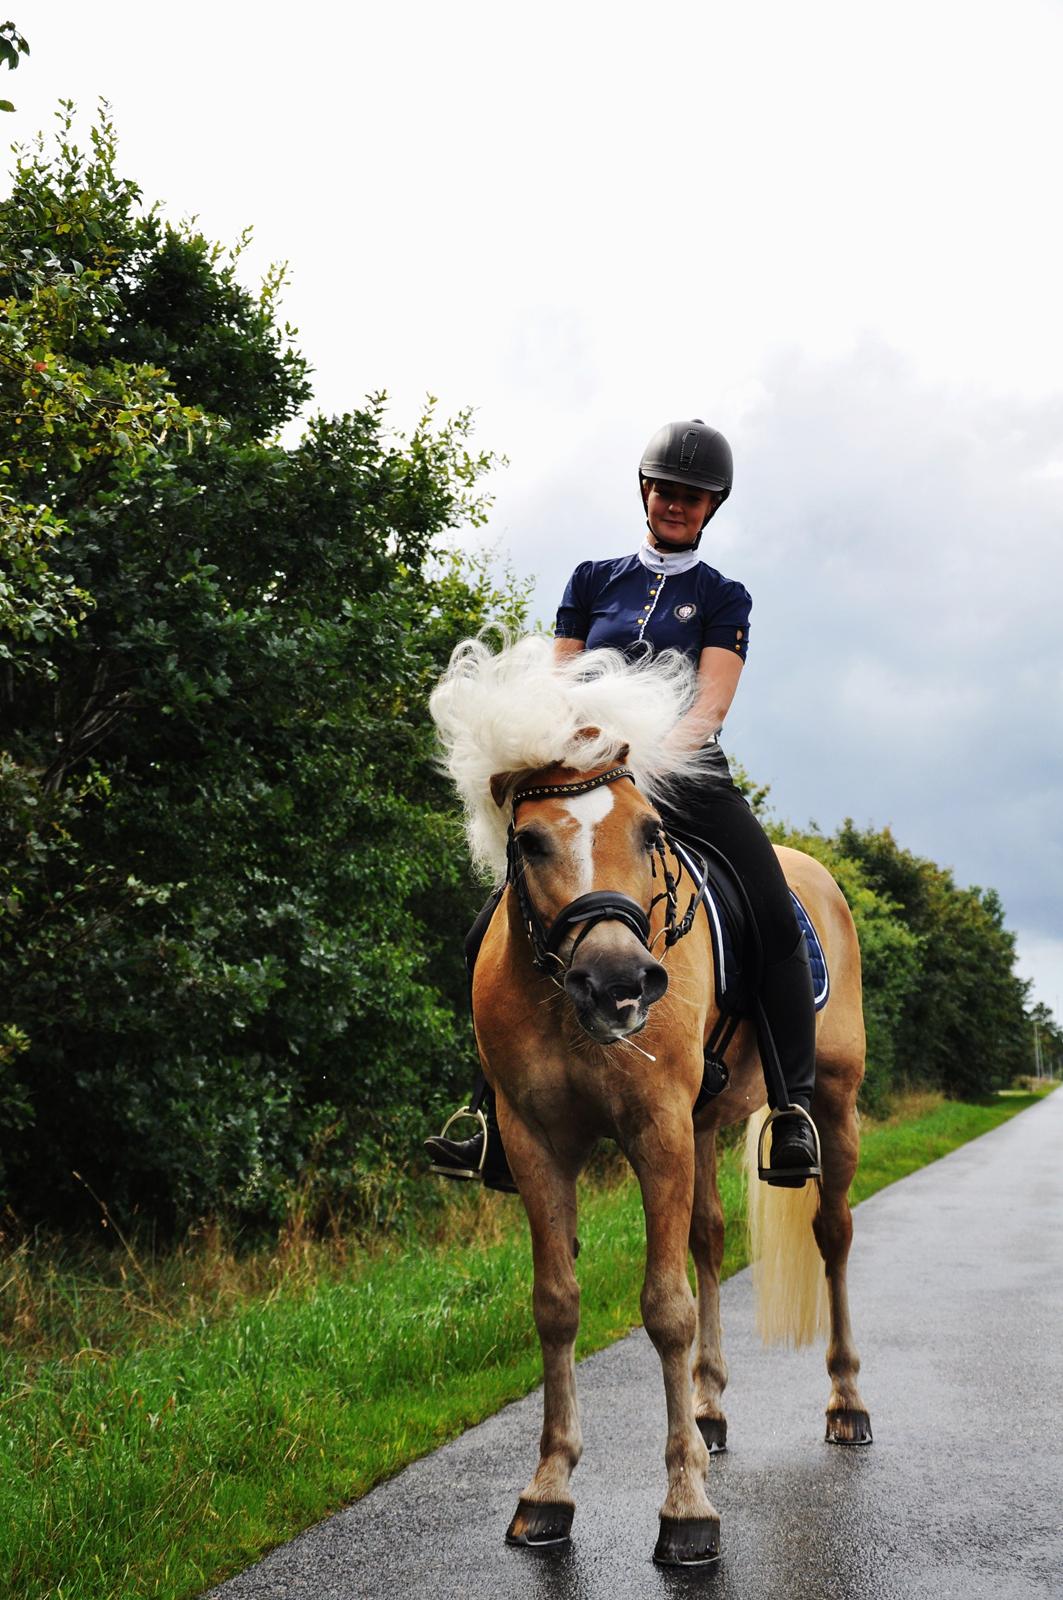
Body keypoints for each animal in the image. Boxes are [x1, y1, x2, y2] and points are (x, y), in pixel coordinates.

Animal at [432, 633, 870, 1561]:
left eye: (648, 830)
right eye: (528, 843)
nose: (619, 987)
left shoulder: (655, 1128)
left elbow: (664, 1308)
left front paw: (686, 1511)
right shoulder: (537, 1141)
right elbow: (556, 1304)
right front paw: (548, 1490)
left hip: (833, 1104)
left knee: (832, 1233)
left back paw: (846, 1402)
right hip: (702, 1124)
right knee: (707, 1238)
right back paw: (707, 1411)